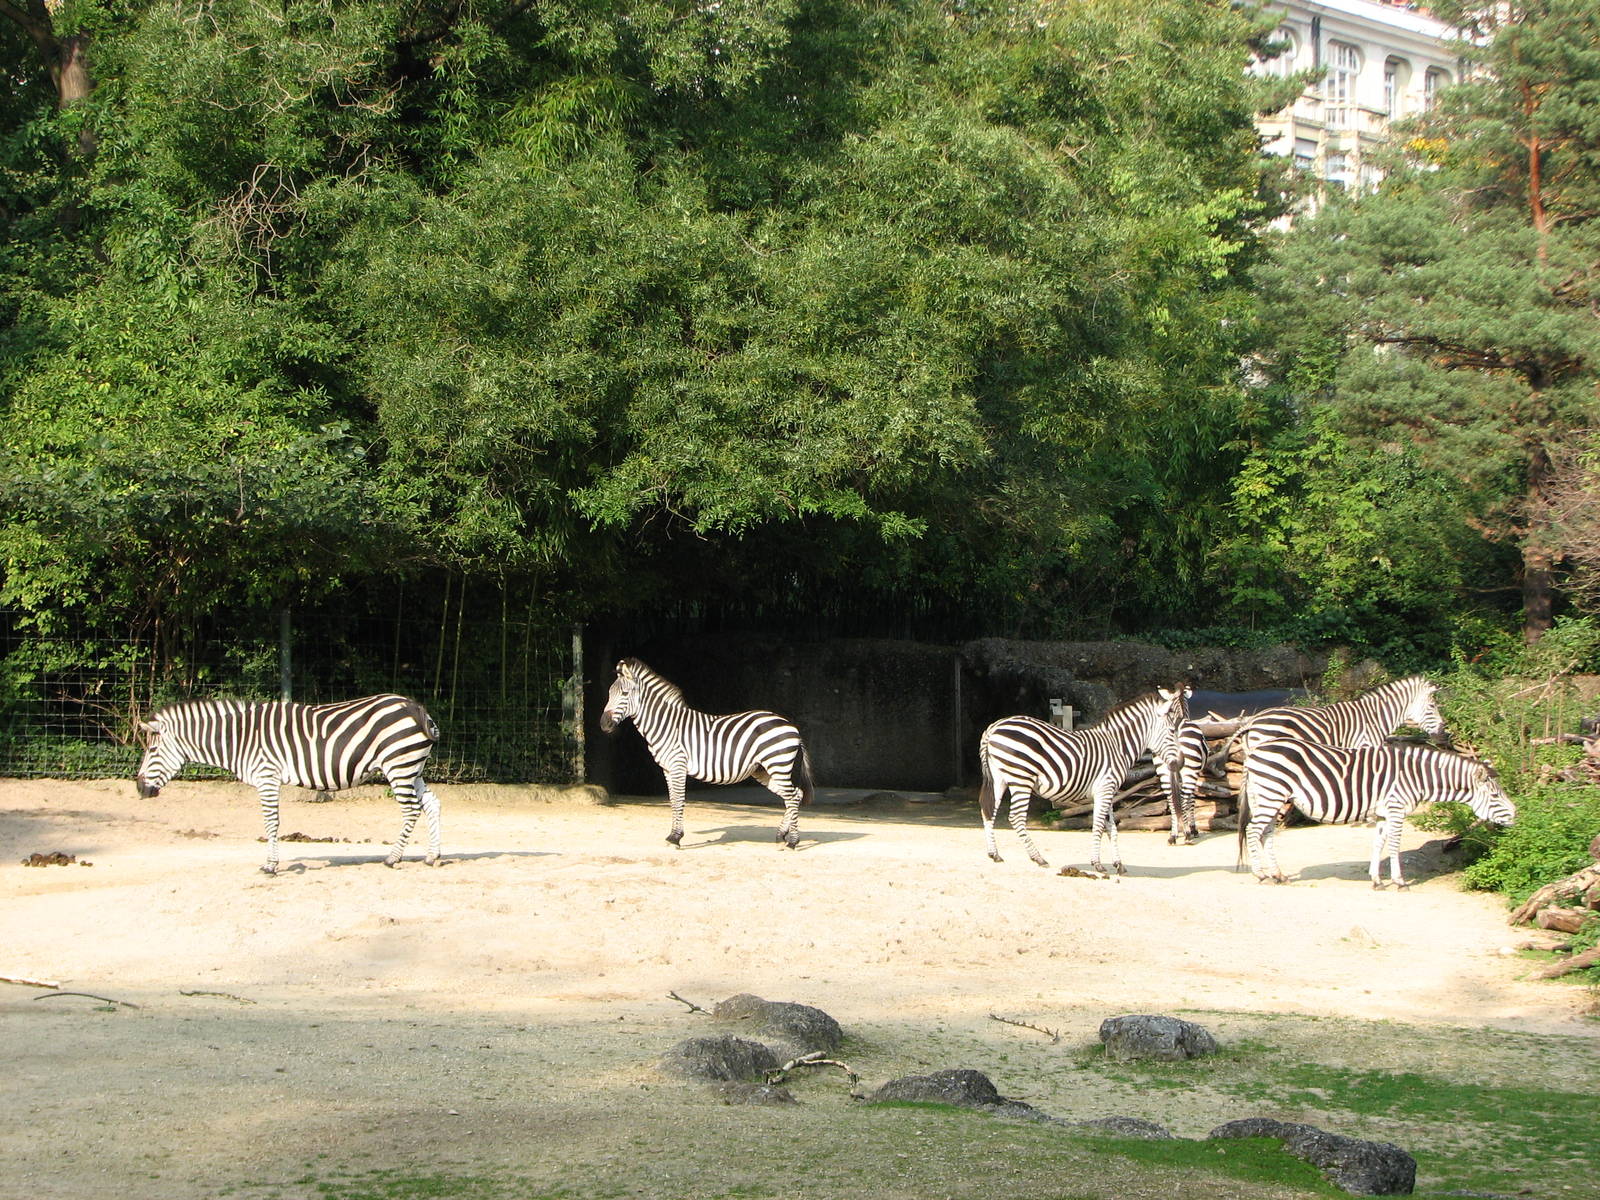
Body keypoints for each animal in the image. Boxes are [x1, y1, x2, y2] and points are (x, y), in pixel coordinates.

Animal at [135, 694, 442, 875]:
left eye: (152, 751)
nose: (139, 789)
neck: (240, 738)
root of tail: (414, 706)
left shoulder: (267, 776)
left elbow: (271, 822)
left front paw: (270, 866)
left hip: (398, 766)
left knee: (411, 810)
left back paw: (392, 859)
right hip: (411, 768)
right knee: (432, 804)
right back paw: (432, 856)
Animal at [599, 658, 815, 849]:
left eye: (625, 693)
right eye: (609, 693)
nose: (603, 725)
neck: (667, 725)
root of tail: (791, 726)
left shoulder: (678, 765)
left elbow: (679, 801)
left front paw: (675, 838)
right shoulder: (667, 769)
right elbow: (673, 801)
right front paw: (673, 836)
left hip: (778, 764)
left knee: (792, 797)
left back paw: (792, 842)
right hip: (763, 769)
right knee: (795, 795)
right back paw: (781, 836)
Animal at [978, 685, 1189, 874]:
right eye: (1172, 731)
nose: (1180, 763)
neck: (1117, 746)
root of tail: (994, 727)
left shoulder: (1109, 792)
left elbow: (1112, 827)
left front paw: (1118, 864)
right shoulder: (1105, 788)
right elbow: (1098, 825)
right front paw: (1098, 864)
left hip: (999, 778)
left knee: (989, 811)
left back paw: (994, 854)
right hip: (1022, 778)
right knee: (1016, 817)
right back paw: (1038, 858)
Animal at [1238, 738, 1515, 888]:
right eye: (1495, 796)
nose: (1516, 816)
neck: (1416, 777)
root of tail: (1254, 752)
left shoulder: (1383, 812)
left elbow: (1378, 844)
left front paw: (1376, 880)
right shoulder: (1396, 808)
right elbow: (1394, 845)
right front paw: (1399, 882)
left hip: (1270, 796)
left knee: (1267, 833)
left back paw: (1278, 874)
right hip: (1271, 794)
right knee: (1253, 830)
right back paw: (1260, 875)